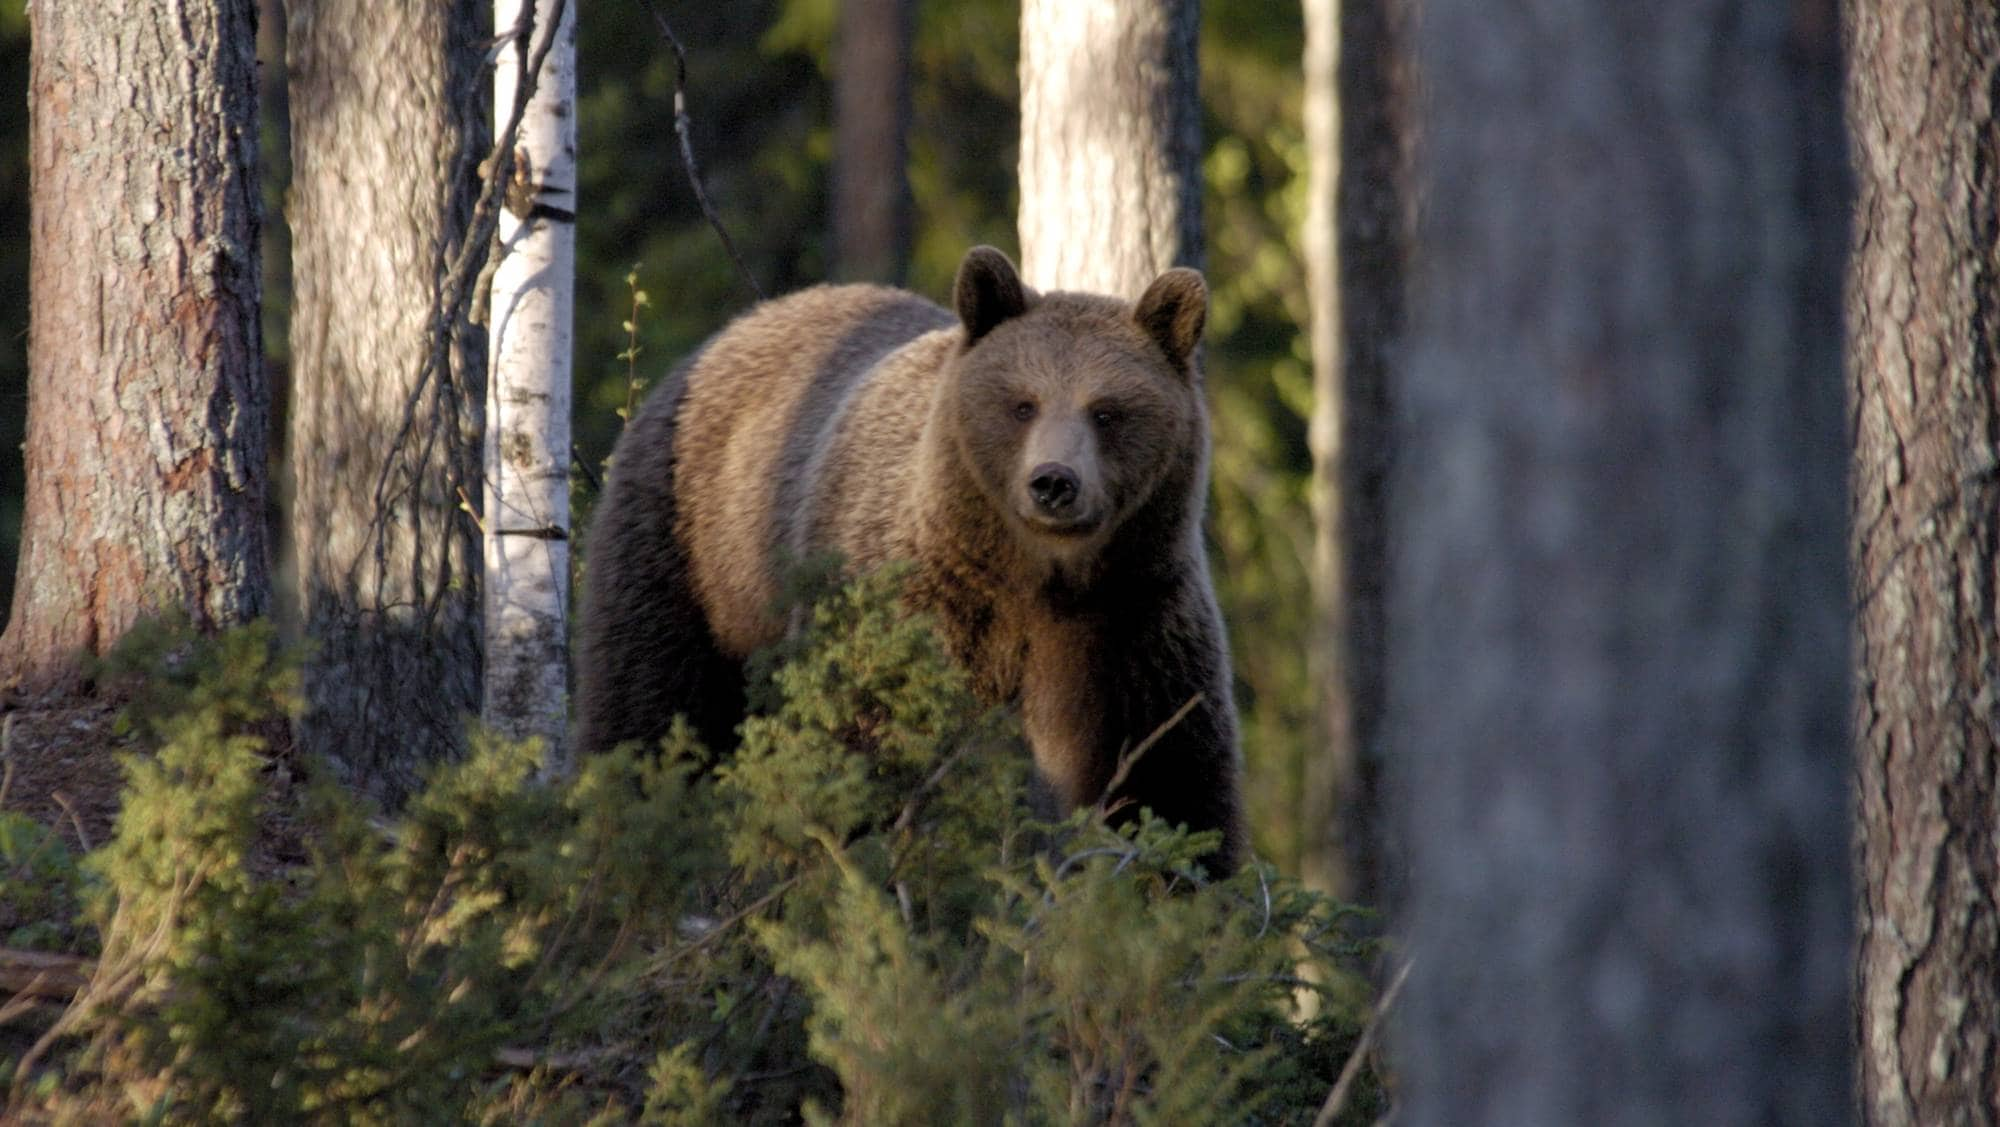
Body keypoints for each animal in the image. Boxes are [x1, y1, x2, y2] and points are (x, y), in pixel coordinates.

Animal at [572, 246, 1240, 871]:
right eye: (1022, 403)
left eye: (1107, 410)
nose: (1053, 482)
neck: (1042, 579)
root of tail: (725, 334)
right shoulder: (916, 604)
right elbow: (871, 741)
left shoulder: (1137, 622)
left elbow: (1176, 779)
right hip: (694, 556)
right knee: (651, 705)